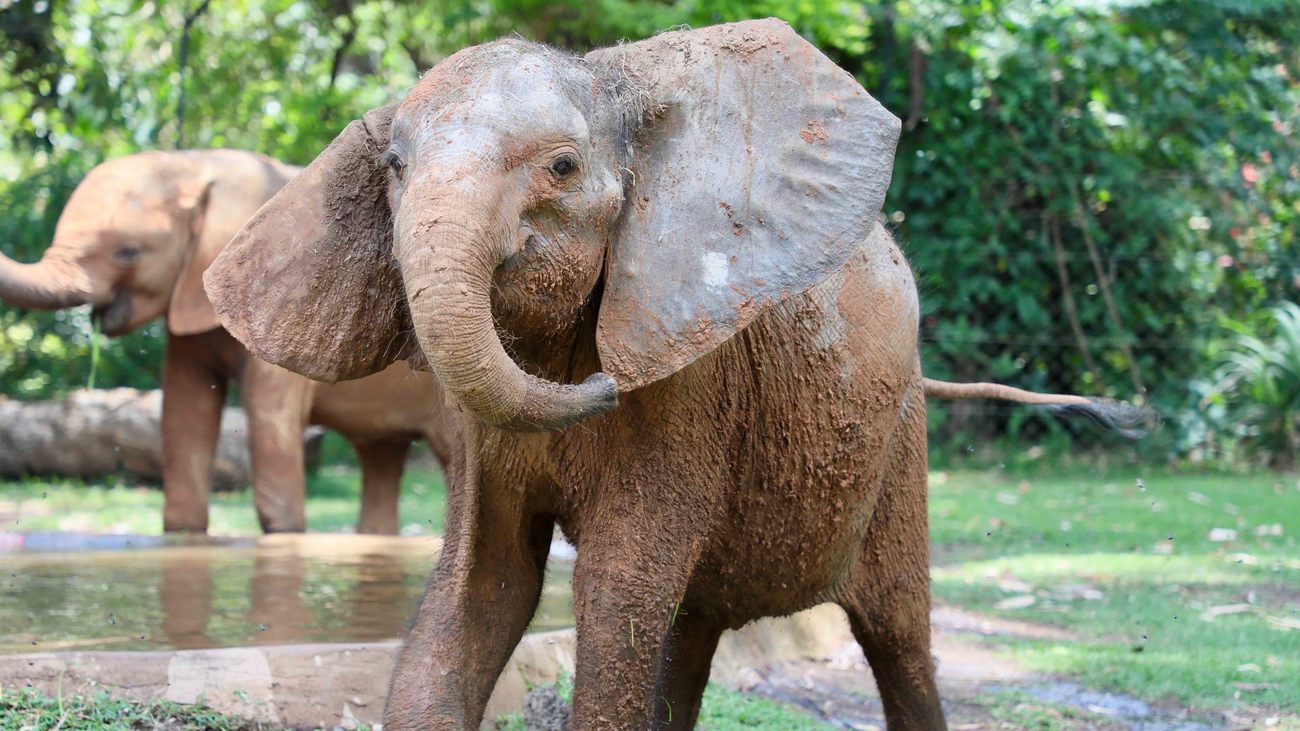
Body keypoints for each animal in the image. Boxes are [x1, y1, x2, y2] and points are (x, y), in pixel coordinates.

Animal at [205, 19, 1149, 723]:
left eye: (562, 168)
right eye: (394, 169)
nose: (602, 385)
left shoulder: (694, 387)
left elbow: (619, 586)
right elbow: (481, 587)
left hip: (900, 447)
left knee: (898, 641)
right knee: (694, 630)